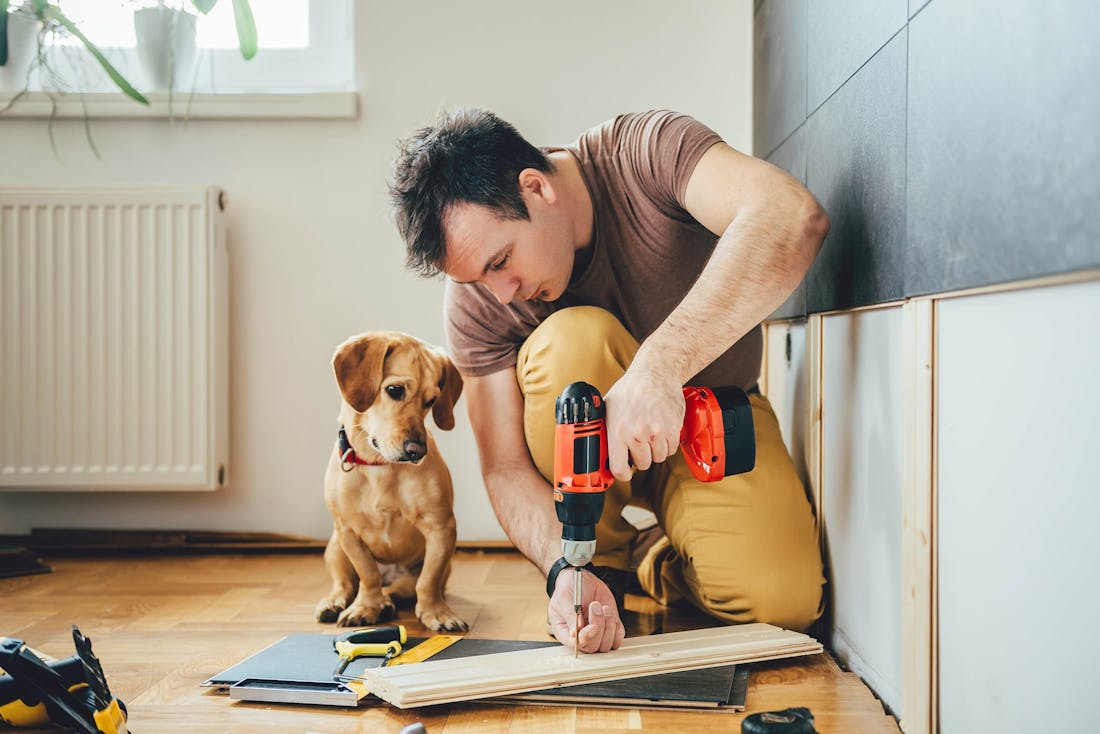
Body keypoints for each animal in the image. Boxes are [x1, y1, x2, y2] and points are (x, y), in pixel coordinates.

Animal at [314, 332, 468, 633]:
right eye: (395, 390)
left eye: (431, 400)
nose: (417, 451)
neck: (380, 466)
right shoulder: (348, 531)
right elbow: (367, 574)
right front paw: (366, 607)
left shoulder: (441, 529)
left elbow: (427, 582)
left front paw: (436, 612)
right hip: (335, 548)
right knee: (345, 582)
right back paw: (336, 602)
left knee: (404, 587)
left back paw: (388, 599)